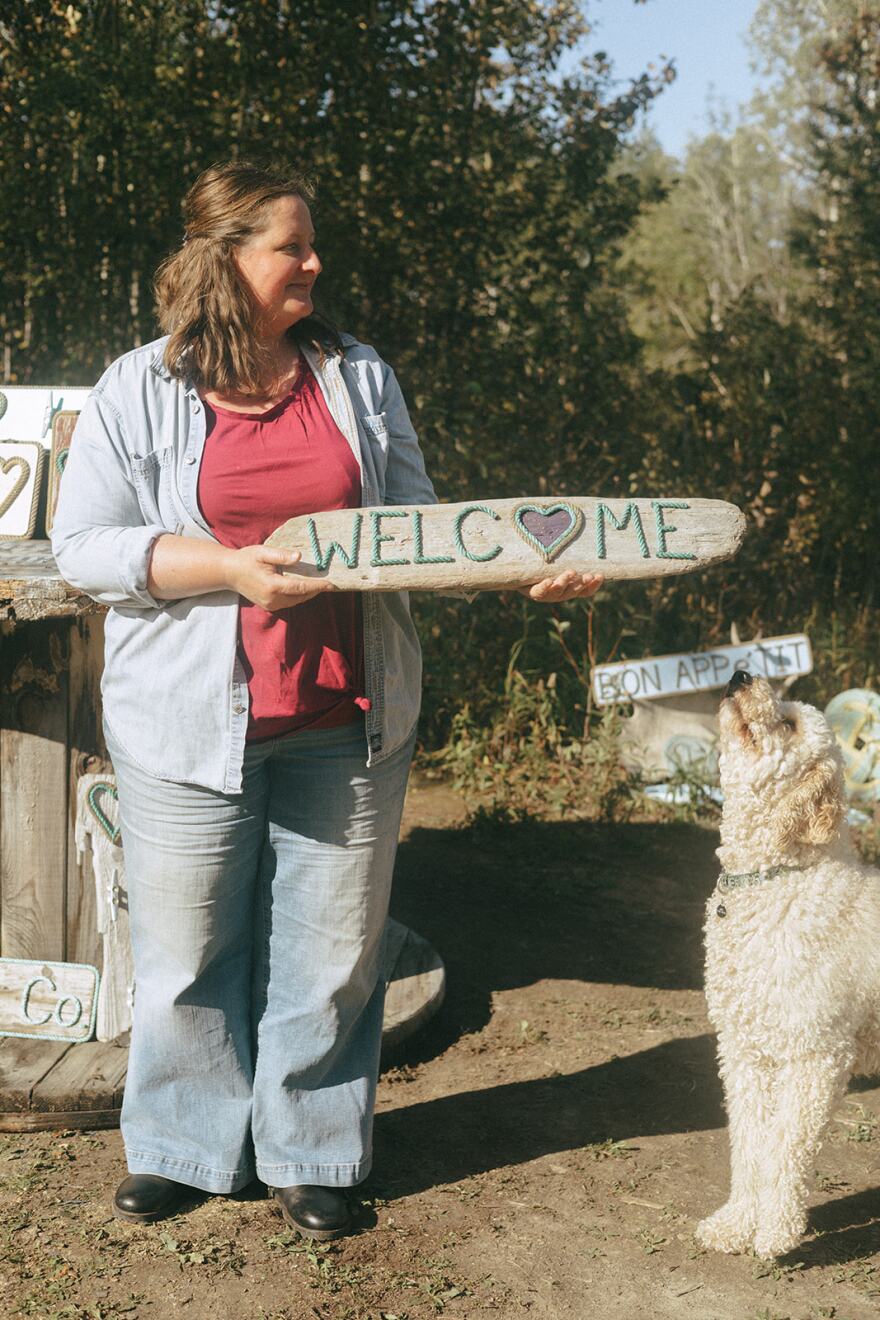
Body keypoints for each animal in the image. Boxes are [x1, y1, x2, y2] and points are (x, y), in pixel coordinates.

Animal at [696, 670, 880, 1256]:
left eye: (791, 724)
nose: (740, 675)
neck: (778, 878)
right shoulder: (744, 1052)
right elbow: (750, 1145)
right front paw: (736, 1223)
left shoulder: (817, 1056)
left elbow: (785, 1148)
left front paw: (776, 1230)